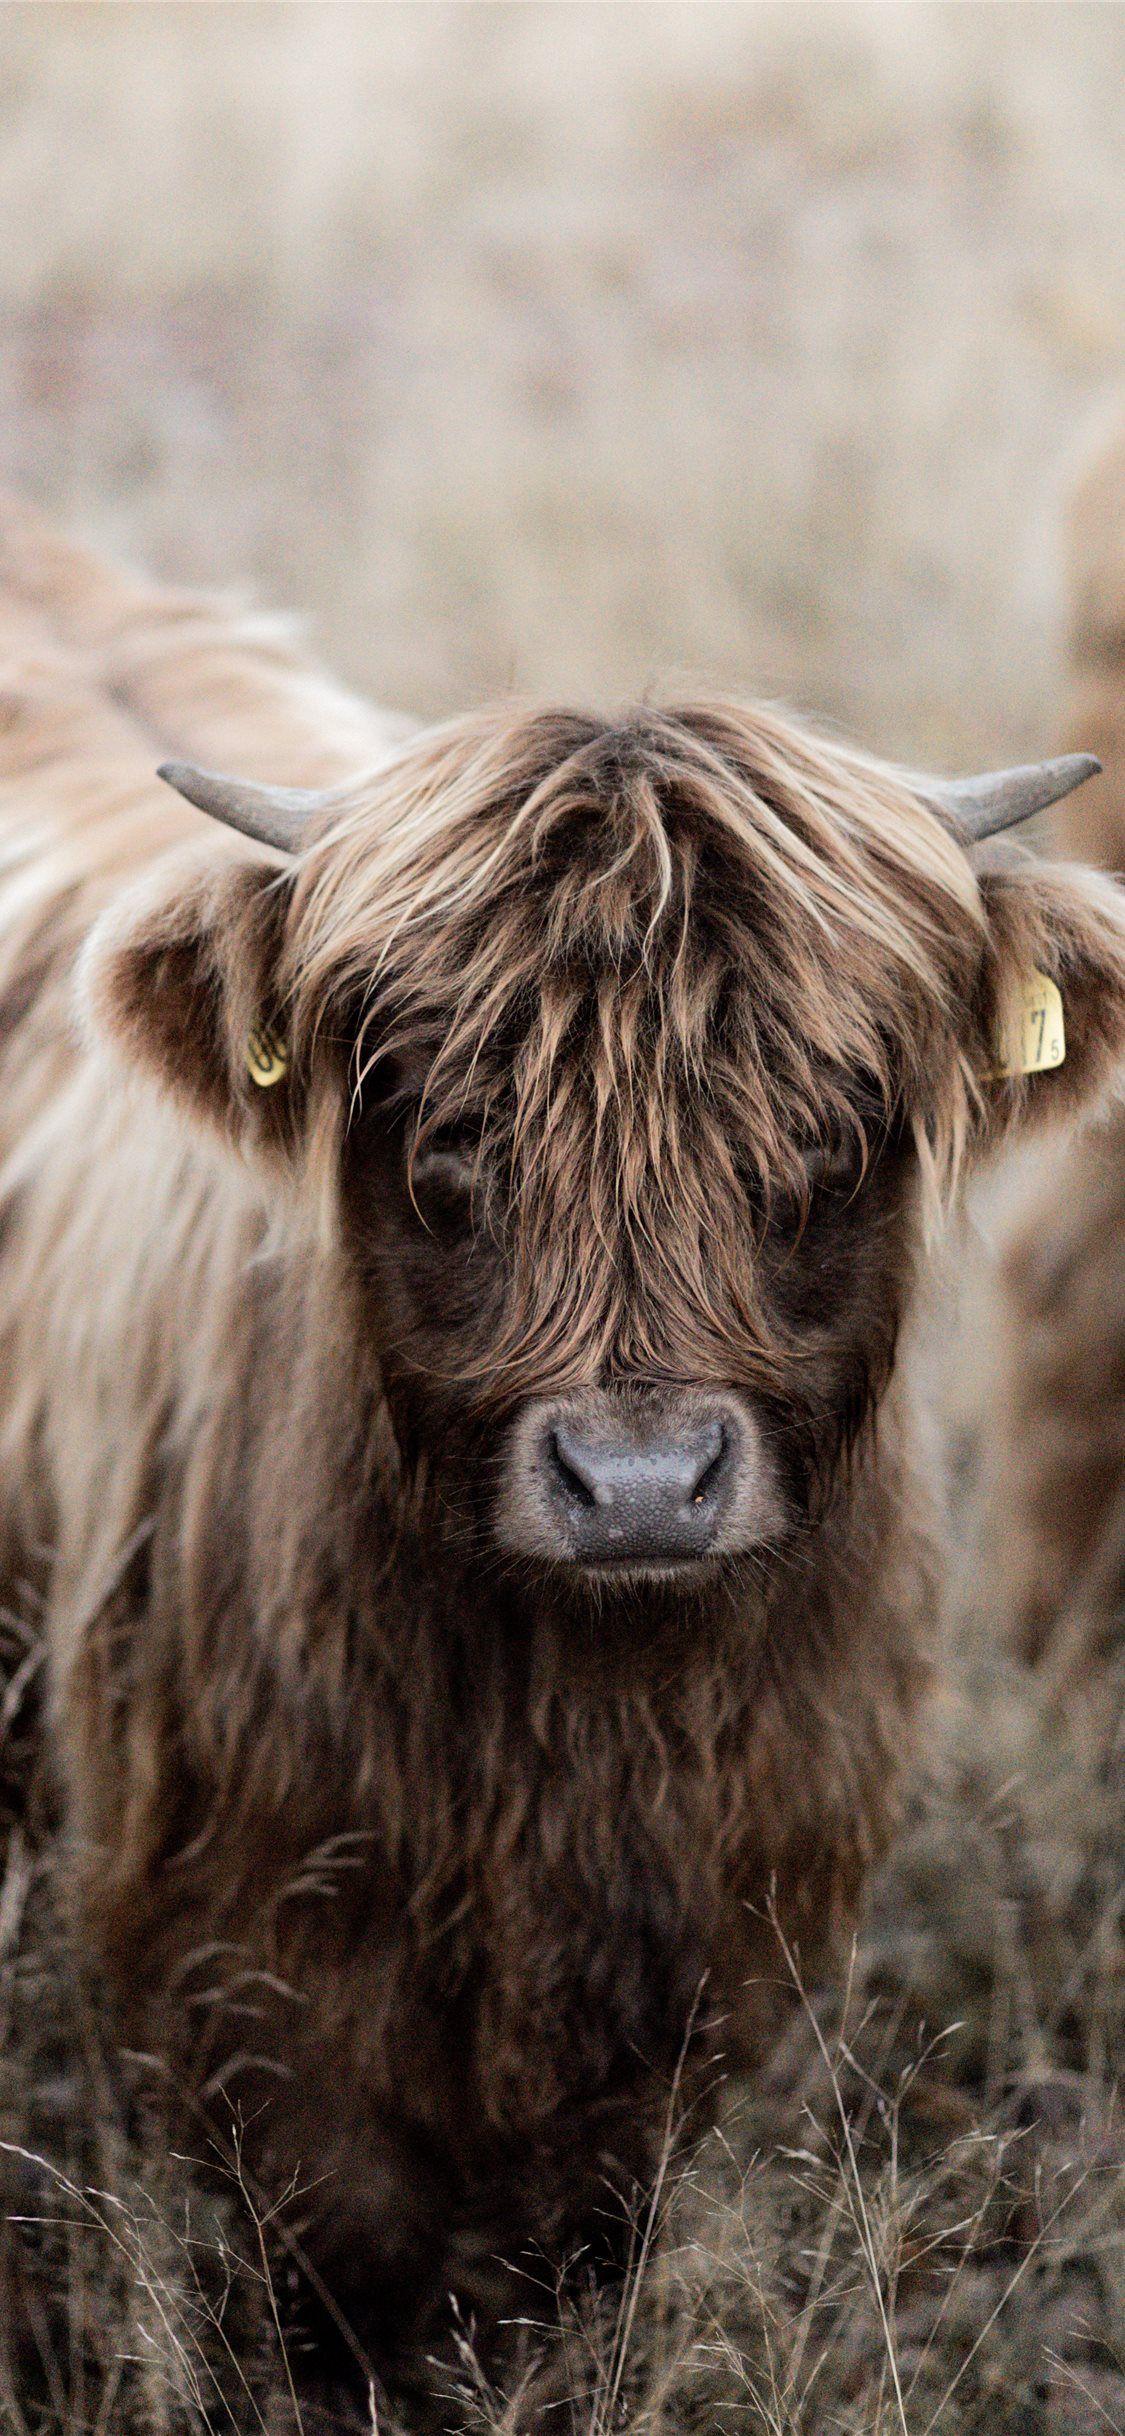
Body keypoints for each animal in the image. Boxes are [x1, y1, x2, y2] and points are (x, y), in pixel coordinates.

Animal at [0, 495, 1123, 2415]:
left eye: (826, 1130)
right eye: (446, 1130)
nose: (642, 1483)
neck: (574, 1727)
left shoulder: (707, 1955)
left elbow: (572, 2265)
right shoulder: (245, 1964)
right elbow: (347, 2277)